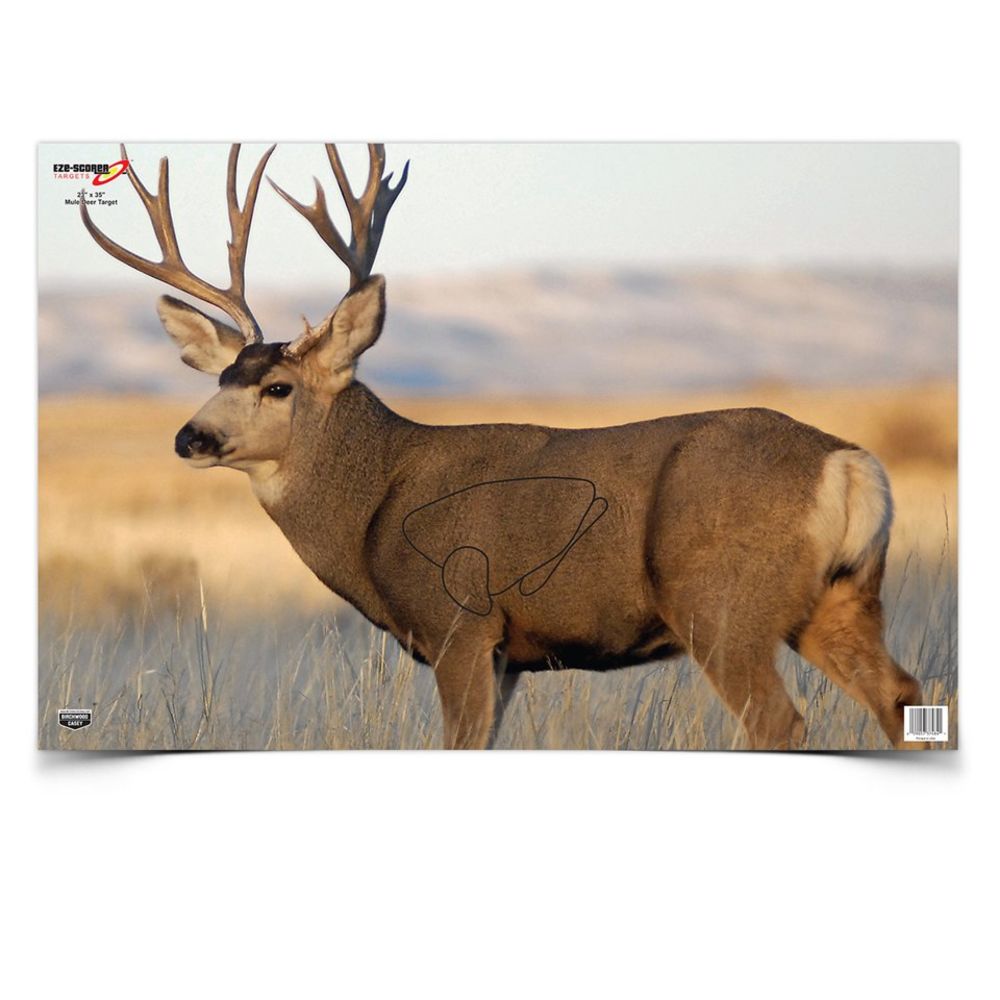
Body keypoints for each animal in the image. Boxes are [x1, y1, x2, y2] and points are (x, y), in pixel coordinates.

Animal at [80, 142, 926, 750]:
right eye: (224, 373)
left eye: (279, 388)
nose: (191, 436)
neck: (374, 506)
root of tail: (849, 464)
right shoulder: (511, 655)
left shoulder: (461, 622)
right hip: (840, 599)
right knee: (904, 695)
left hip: (722, 605)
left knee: (783, 722)